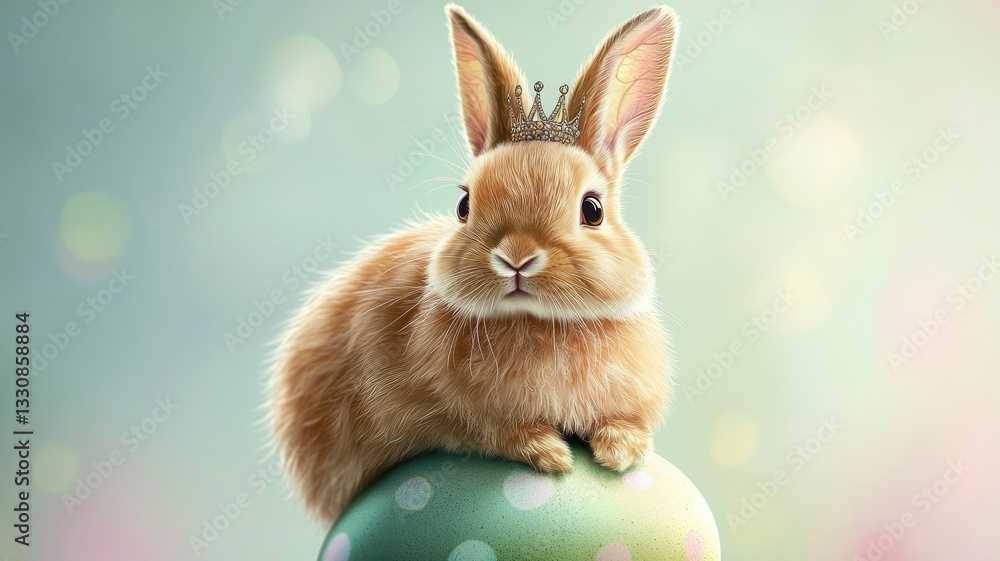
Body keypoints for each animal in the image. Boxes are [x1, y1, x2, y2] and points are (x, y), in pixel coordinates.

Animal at [270, 3, 680, 526]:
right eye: (464, 205)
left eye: (592, 210)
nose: (516, 259)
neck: (539, 322)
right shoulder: (466, 415)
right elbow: (499, 433)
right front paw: (552, 455)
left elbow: (626, 422)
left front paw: (620, 452)